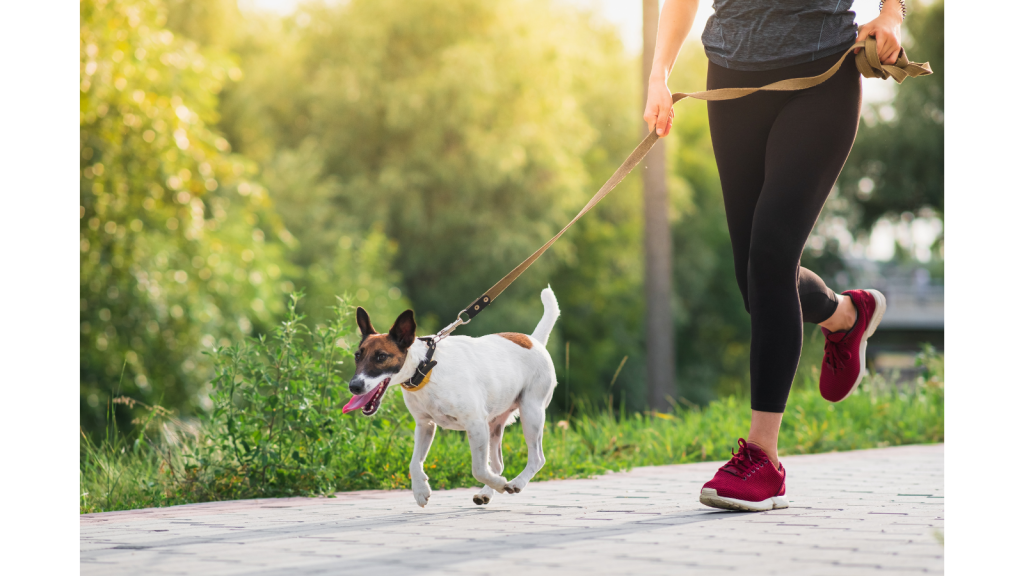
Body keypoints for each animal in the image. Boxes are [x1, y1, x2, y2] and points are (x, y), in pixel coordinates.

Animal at [344, 284, 561, 502]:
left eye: (381, 356)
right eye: (357, 356)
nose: (354, 386)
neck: (425, 369)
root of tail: (534, 340)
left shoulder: (475, 424)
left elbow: (479, 470)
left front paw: (501, 484)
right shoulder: (424, 425)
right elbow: (414, 463)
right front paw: (420, 490)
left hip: (531, 412)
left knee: (537, 458)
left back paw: (515, 483)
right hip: (495, 424)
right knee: (498, 464)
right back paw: (486, 492)